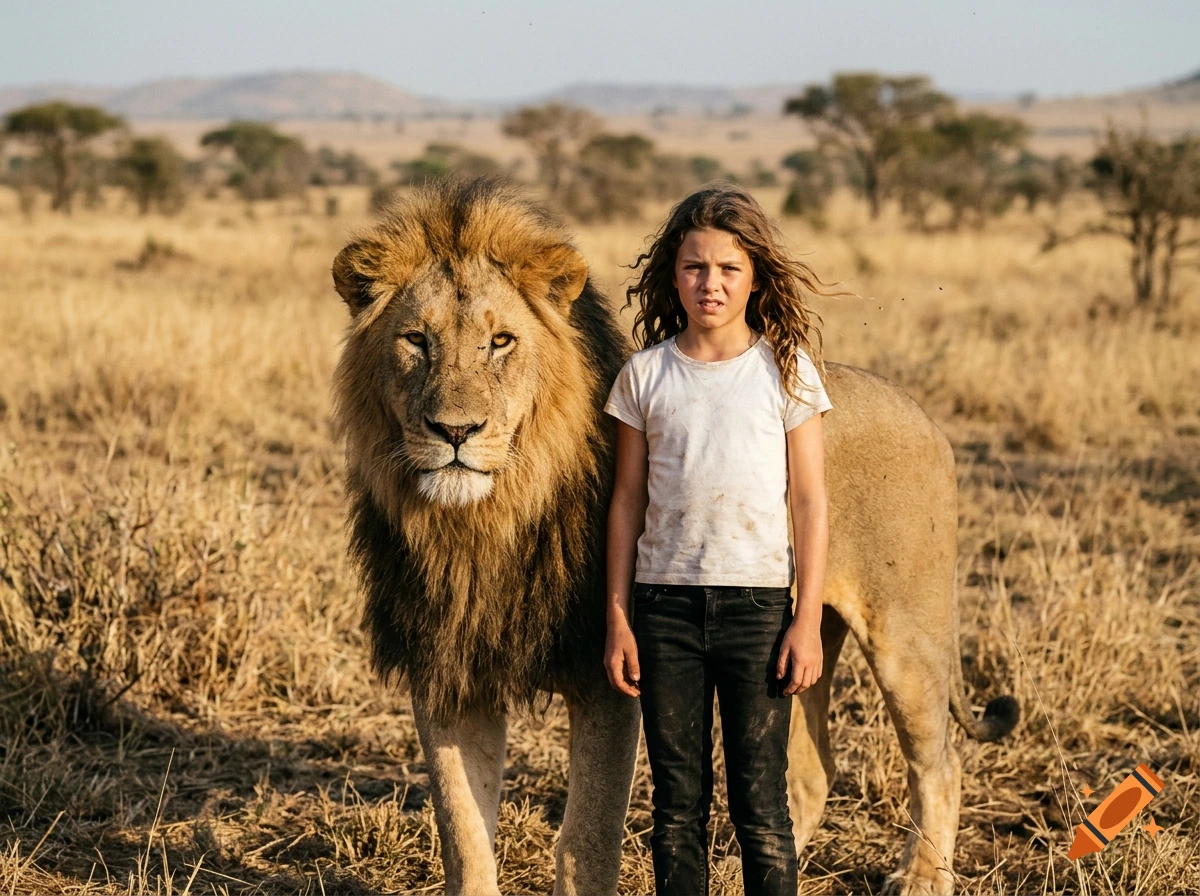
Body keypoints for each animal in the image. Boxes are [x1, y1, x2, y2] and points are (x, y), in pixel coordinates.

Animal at [331, 178, 1017, 896]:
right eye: (415, 340)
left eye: (500, 341)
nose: (455, 431)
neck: (486, 526)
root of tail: (927, 418)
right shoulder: (449, 673)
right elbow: (464, 838)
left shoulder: (608, 675)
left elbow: (586, 842)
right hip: (801, 643)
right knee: (807, 772)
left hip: (906, 634)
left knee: (939, 764)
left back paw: (921, 878)